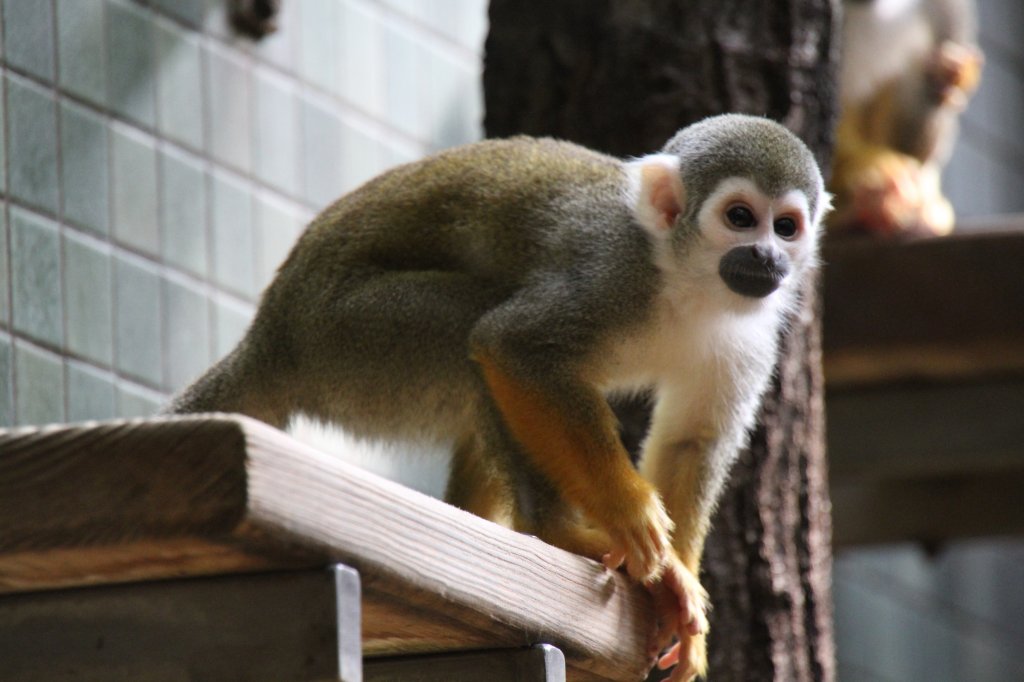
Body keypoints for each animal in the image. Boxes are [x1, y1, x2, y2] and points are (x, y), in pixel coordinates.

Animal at [165, 114, 823, 675]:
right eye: (740, 216)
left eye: (786, 227)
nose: (767, 256)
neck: (686, 280)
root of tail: (271, 330)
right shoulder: (612, 276)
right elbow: (511, 346)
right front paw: (630, 516)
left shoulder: (752, 334)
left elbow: (693, 440)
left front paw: (679, 591)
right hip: (347, 340)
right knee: (471, 326)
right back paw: (553, 530)